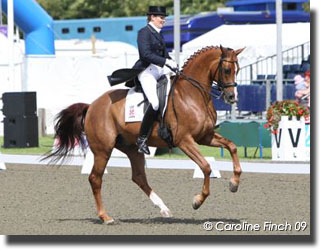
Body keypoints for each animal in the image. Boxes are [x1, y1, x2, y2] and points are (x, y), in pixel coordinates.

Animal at [45, 44, 245, 224]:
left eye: (238, 69)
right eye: (227, 69)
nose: (232, 97)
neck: (191, 94)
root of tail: (92, 105)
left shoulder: (205, 137)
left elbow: (232, 146)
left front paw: (234, 184)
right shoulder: (185, 141)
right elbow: (206, 167)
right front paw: (198, 200)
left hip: (132, 148)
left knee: (138, 177)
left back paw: (164, 209)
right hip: (103, 150)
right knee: (95, 178)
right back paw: (105, 217)